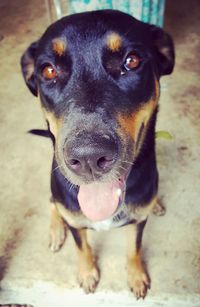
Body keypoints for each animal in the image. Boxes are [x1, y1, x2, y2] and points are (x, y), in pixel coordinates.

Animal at [19, 10, 173, 300]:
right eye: (48, 70)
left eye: (132, 61)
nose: (89, 158)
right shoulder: (75, 221)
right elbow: (82, 246)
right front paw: (88, 273)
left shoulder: (138, 221)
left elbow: (134, 248)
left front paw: (136, 276)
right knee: (52, 203)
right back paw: (55, 231)